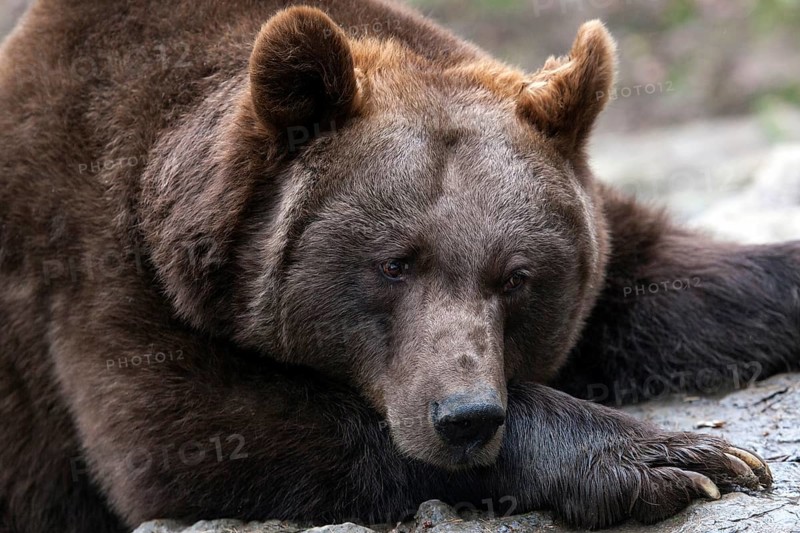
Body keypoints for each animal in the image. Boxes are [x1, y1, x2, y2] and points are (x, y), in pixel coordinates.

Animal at [0, 1, 797, 532]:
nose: (467, 416)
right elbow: (188, 434)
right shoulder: (99, 261)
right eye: (394, 264)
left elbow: (675, 280)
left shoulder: (599, 240)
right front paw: (679, 458)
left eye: (517, 276)